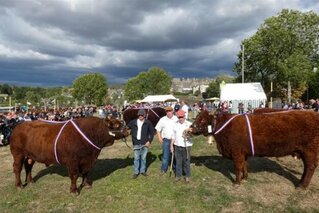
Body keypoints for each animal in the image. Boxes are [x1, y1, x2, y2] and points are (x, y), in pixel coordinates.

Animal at [191, 110, 319, 188]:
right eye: (196, 117)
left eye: (202, 120)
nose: (191, 128)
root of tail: (313, 114)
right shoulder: (243, 153)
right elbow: (244, 165)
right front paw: (245, 178)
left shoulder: (236, 152)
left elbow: (237, 167)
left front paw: (237, 182)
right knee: (307, 167)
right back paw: (301, 182)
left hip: (310, 151)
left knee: (310, 167)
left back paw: (302, 186)